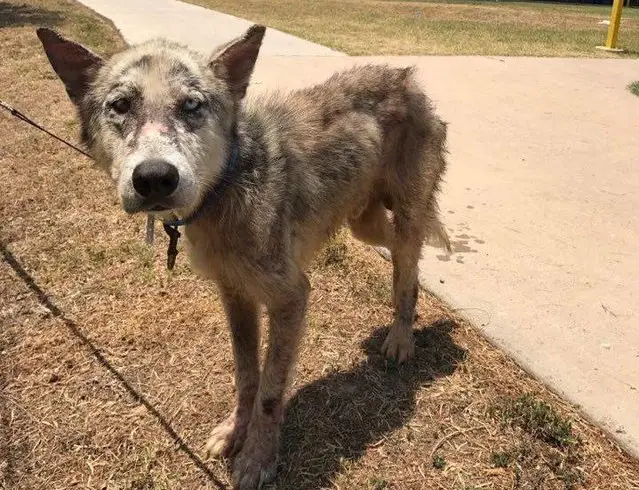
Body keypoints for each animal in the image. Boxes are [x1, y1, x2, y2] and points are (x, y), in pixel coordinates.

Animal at [37, 25, 452, 490]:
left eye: (192, 105)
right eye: (121, 106)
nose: (155, 178)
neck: (225, 186)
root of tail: (405, 77)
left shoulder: (291, 297)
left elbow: (270, 391)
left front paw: (258, 457)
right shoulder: (235, 294)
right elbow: (246, 374)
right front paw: (236, 431)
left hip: (403, 216)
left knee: (409, 263)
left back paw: (401, 336)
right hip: (363, 221)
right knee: (403, 258)